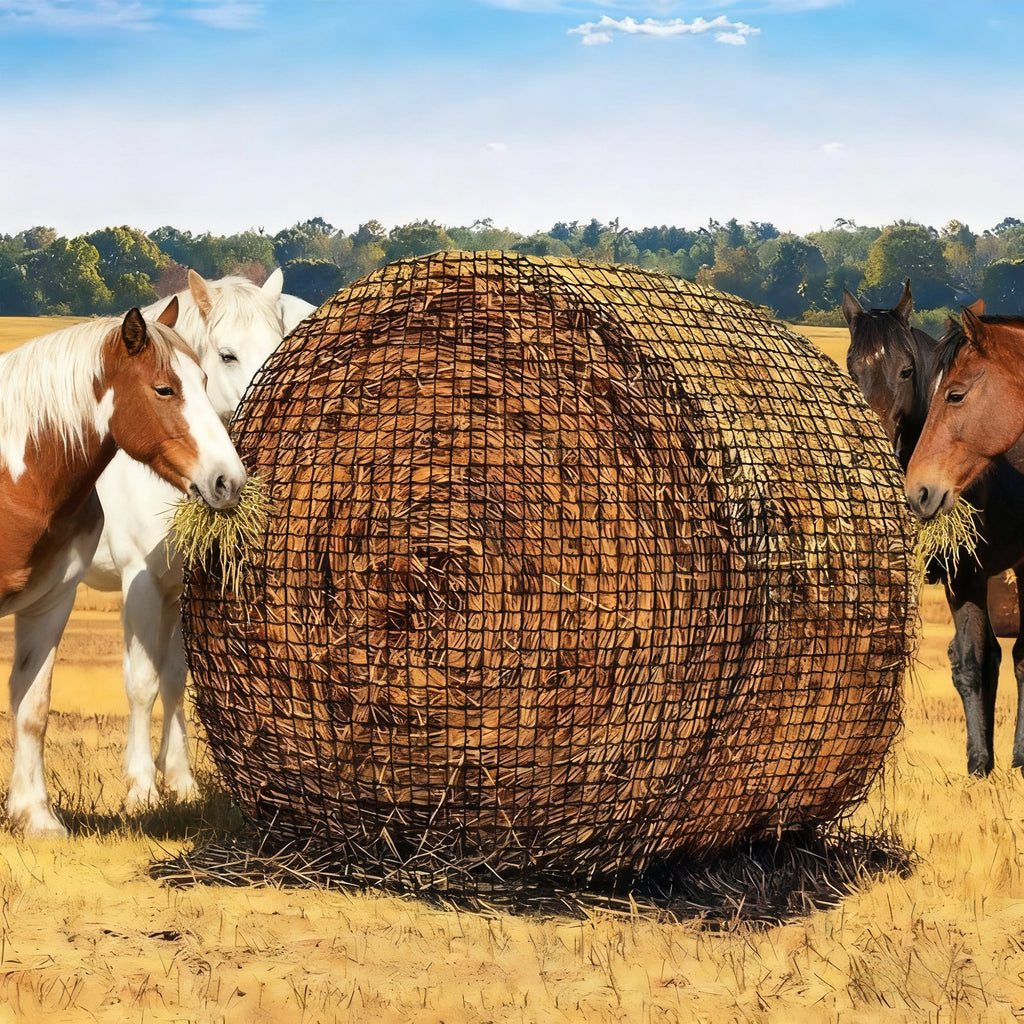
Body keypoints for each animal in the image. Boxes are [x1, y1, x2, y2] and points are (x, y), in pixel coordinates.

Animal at [0, 304, 246, 836]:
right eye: (164, 389)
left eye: (203, 378)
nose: (228, 481)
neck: (16, 477)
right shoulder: (143, 583)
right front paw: (144, 789)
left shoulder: (52, 603)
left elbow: (33, 706)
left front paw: (36, 818)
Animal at [81, 270, 315, 811]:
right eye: (226, 355)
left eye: (280, 341)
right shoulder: (142, 583)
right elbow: (142, 682)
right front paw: (142, 787)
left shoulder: (179, 589)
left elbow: (173, 678)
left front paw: (180, 780)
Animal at [844, 286, 1024, 775]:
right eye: (852, 369)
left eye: (907, 370)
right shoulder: (954, 575)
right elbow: (971, 660)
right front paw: (981, 762)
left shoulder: (976, 572)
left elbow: (987, 659)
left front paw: (992, 764)